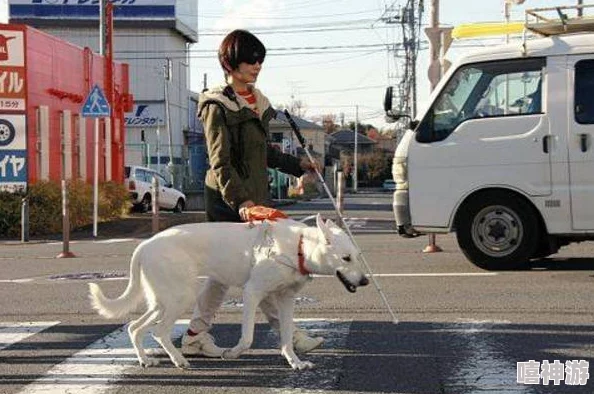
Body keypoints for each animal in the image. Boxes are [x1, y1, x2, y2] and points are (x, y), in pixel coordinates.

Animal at [89, 214, 366, 368]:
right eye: (346, 258)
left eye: (357, 256)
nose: (365, 282)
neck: (297, 248)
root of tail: (145, 244)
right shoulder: (252, 293)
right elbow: (248, 338)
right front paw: (233, 353)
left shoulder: (286, 301)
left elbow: (286, 338)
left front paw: (295, 362)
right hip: (180, 298)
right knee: (158, 332)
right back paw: (179, 360)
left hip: (162, 302)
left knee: (134, 328)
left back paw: (145, 360)